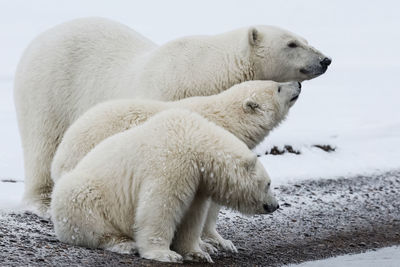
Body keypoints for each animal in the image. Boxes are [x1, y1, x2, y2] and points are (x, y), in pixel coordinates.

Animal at [14, 17, 330, 218]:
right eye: (291, 44)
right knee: (43, 142)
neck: (208, 72)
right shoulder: (168, 92)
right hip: (49, 86)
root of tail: (39, 39)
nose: (325, 59)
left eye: (305, 39)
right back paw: (42, 202)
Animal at [50, 79, 300, 253]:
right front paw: (208, 244)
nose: (297, 84)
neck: (226, 120)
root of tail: (63, 147)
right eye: (278, 87)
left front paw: (222, 242)